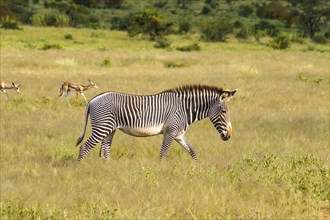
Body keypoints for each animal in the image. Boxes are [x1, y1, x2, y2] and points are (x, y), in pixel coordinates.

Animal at [75, 84, 236, 162]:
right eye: (224, 112)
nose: (229, 135)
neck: (185, 109)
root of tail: (93, 100)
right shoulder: (170, 132)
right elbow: (162, 154)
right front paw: (160, 173)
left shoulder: (179, 134)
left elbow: (192, 151)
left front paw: (198, 170)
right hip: (102, 127)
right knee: (84, 147)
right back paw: (80, 168)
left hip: (110, 129)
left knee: (105, 150)